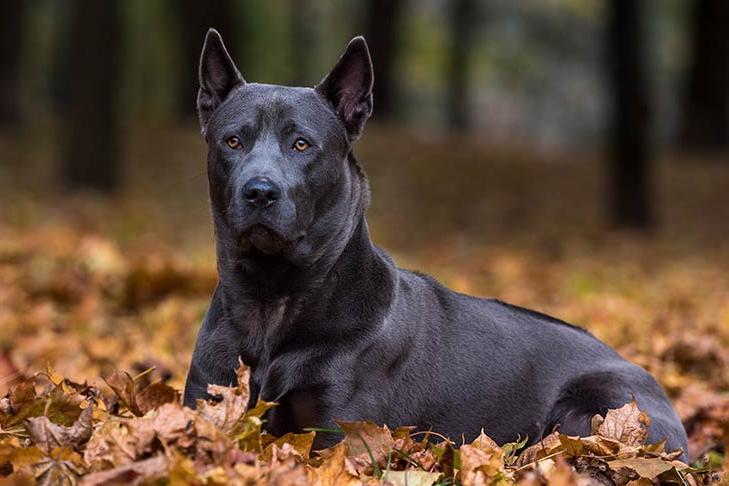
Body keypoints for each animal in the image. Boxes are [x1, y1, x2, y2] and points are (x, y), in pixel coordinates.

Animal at [183, 29, 688, 456]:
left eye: (302, 144)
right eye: (232, 141)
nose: (260, 191)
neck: (273, 298)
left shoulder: (337, 432)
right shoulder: (205, 400)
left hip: (594, 409)